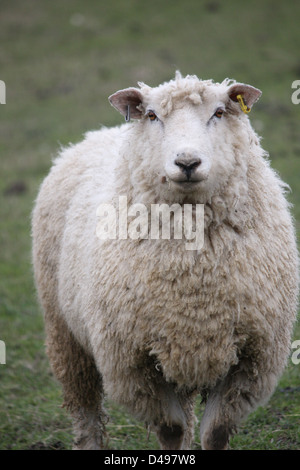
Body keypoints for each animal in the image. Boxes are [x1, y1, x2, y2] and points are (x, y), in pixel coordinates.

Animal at [31, 71, 298, 450]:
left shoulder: (251, 359)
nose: (187, 163)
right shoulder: (133, 361)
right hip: (64, 331)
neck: (192, 278)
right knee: (85, 409)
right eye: (153, 115)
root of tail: (97, 133)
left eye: (219, 112)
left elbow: (215, 431)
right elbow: (171, 430)